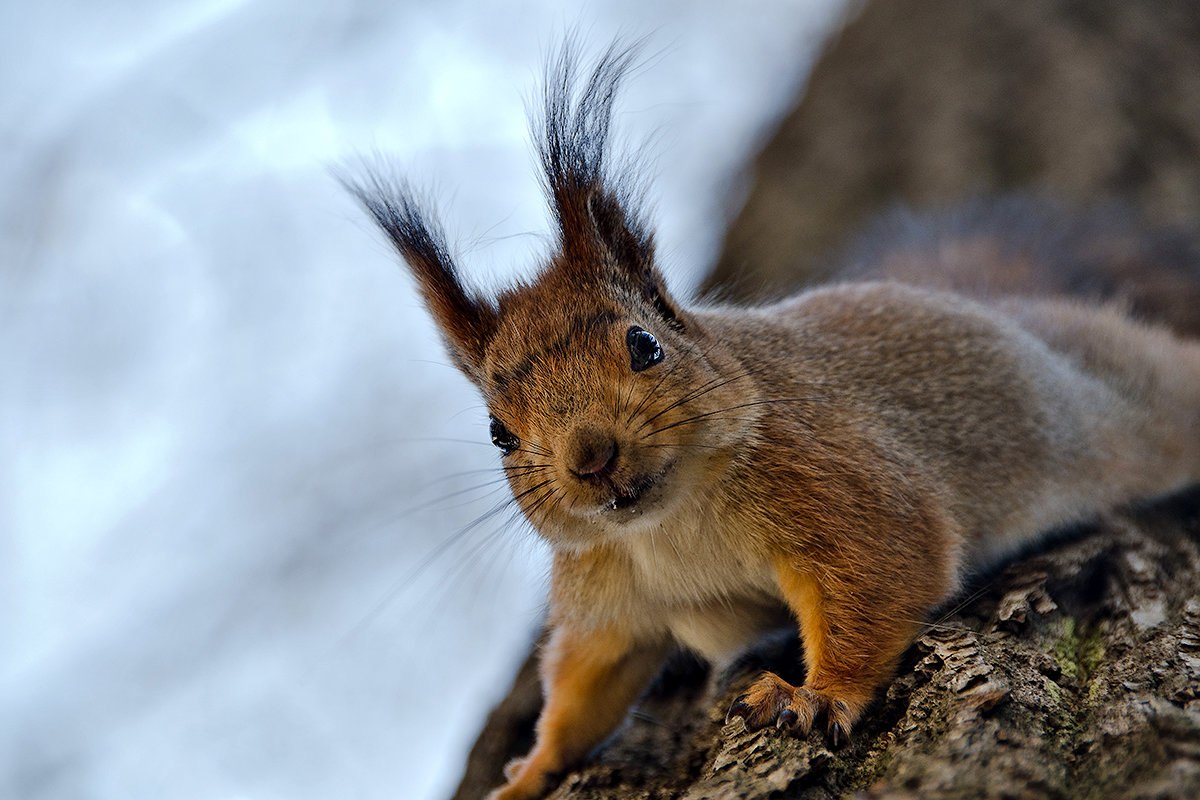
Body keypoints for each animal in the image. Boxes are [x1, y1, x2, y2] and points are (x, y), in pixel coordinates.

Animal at [343, 42, 1200, 800]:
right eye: (499, 433)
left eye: (645, 345)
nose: (590, 459)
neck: (673, 524)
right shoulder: (607, 592)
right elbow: (586, 684)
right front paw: (530, 773)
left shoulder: (838, 484)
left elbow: (880, 578)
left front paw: (818, 694)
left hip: (1129, 402)